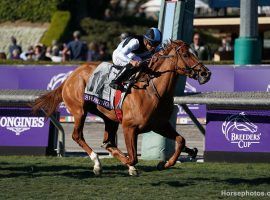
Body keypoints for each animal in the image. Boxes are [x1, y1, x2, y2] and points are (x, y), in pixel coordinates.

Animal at [32, 39, 211, 176]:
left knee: (108, 141)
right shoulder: (129, 127)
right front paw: (131, 166)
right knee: (78, 136)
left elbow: (181, 140)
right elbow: (133, 158)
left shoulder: (159, 125)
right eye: (186, 54)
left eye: (195, 52)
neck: (152, 91)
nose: (206, 73)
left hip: (109, 118)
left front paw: (165, 163)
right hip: (79, 111)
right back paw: (97, 164)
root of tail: (70, 77)